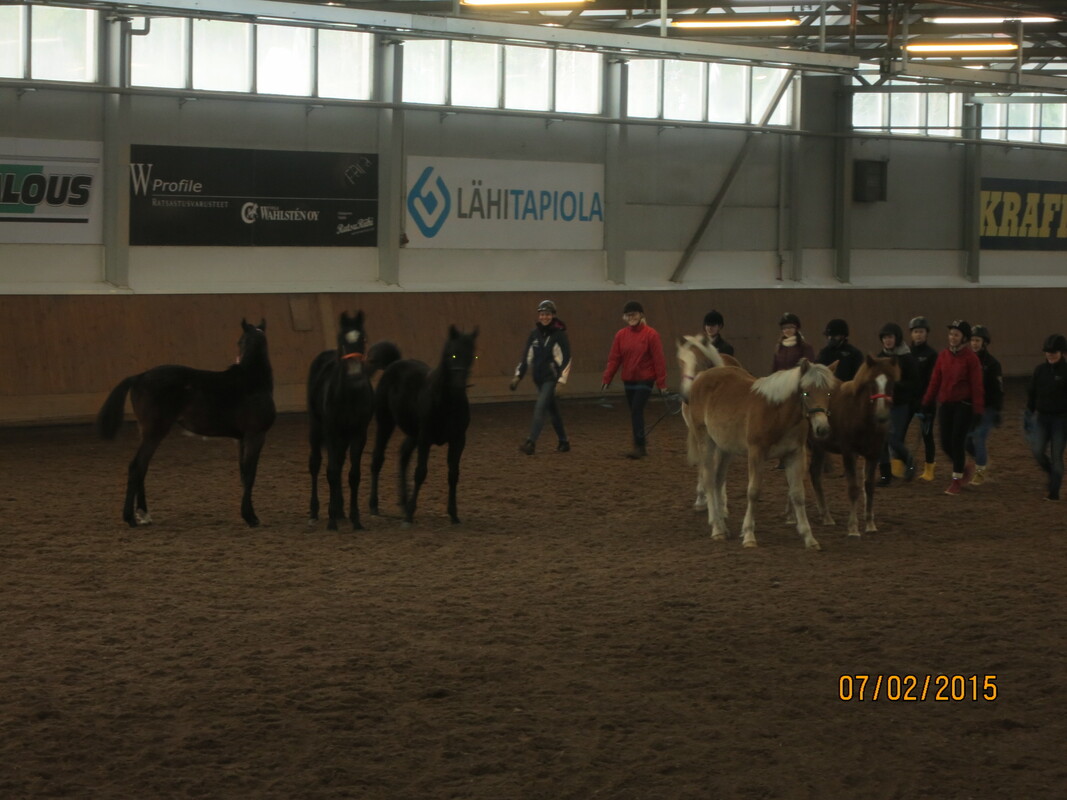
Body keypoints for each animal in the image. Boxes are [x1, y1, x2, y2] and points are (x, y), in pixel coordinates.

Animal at [95, 319, 276, 528]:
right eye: (239, 341)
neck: (252, 382)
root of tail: (139, 376)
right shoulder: (256, 435)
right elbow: (250, 475)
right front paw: (251, 517)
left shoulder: (241, 439)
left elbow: (243, 474)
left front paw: (248, 514)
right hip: (155, 431)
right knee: (136, 467)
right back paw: (131, 518)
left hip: (147, 432)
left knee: (142, 467)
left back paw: (144, 514)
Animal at [306, 311, 401, 531]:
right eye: (343, 339)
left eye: (363, 338)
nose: (356, 374)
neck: (349, 396)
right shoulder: (331, 432)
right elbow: (331, 472)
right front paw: (331, 521)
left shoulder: (358, 434)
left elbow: (353, 475)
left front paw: (355, 519)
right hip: (317, 428)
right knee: (315, 464)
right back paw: (315, 512)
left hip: (344, 437)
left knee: (340, 463)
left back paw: (341, 511)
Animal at [369, 325, 479, 526]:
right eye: (452, 354)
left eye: (472, 356)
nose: (459, 385)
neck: (446, 402)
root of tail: (394, 364)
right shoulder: (425, 438)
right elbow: (420, 472)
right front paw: (410, 516)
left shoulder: (458, 440)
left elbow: (453, 474)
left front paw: (454, 515)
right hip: (386, 423)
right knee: (378, 458)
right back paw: (374, 505)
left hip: (413, 434)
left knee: (403, 456)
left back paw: (403, 503)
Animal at [682, 359, 836, 550]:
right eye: (806, 392)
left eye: (828, 393)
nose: (822, 429)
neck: (777, 413)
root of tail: (701, 377)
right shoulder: (756, 453)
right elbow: (753, 492)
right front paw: (748, 535)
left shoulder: (795, 455)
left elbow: (798, 494)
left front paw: (809, 538)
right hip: (706, 441)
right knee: (709, 480)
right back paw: (717, 529)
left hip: (725, 448)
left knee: (718, 481)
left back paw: (722, 526)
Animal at [807, 355, 899, 537]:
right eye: (872, 382)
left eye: (891, 382)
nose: (882, 416)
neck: (859, 415)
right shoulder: (849, 453)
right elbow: (853, 488)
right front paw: (853, 528)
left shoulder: (874, 454)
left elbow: (869, 486)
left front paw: (870, 524)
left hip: (820, 446)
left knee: (814, 474)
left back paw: (826, 516)